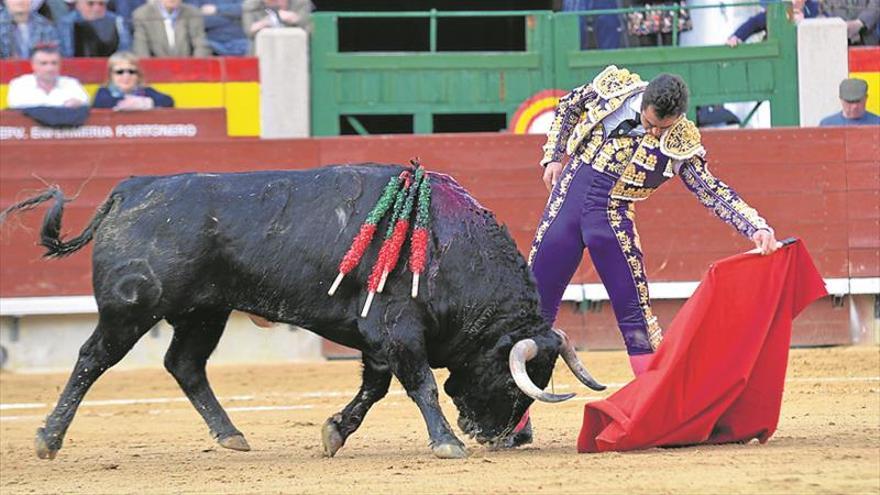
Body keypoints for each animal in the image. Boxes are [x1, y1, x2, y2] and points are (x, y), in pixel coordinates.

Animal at [0, 166, 600, 462]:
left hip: (204, 312)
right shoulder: (397, 329)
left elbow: (375, 387)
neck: (449, 247)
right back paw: (48, 439)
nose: (495, 436)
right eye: (513, 374)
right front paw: (446, 443)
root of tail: (128, 191)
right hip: (131, 309)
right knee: (91, 359)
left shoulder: (377, 337)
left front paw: (335, 432)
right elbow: (422, 384)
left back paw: (231, 436)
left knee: (185, 365)